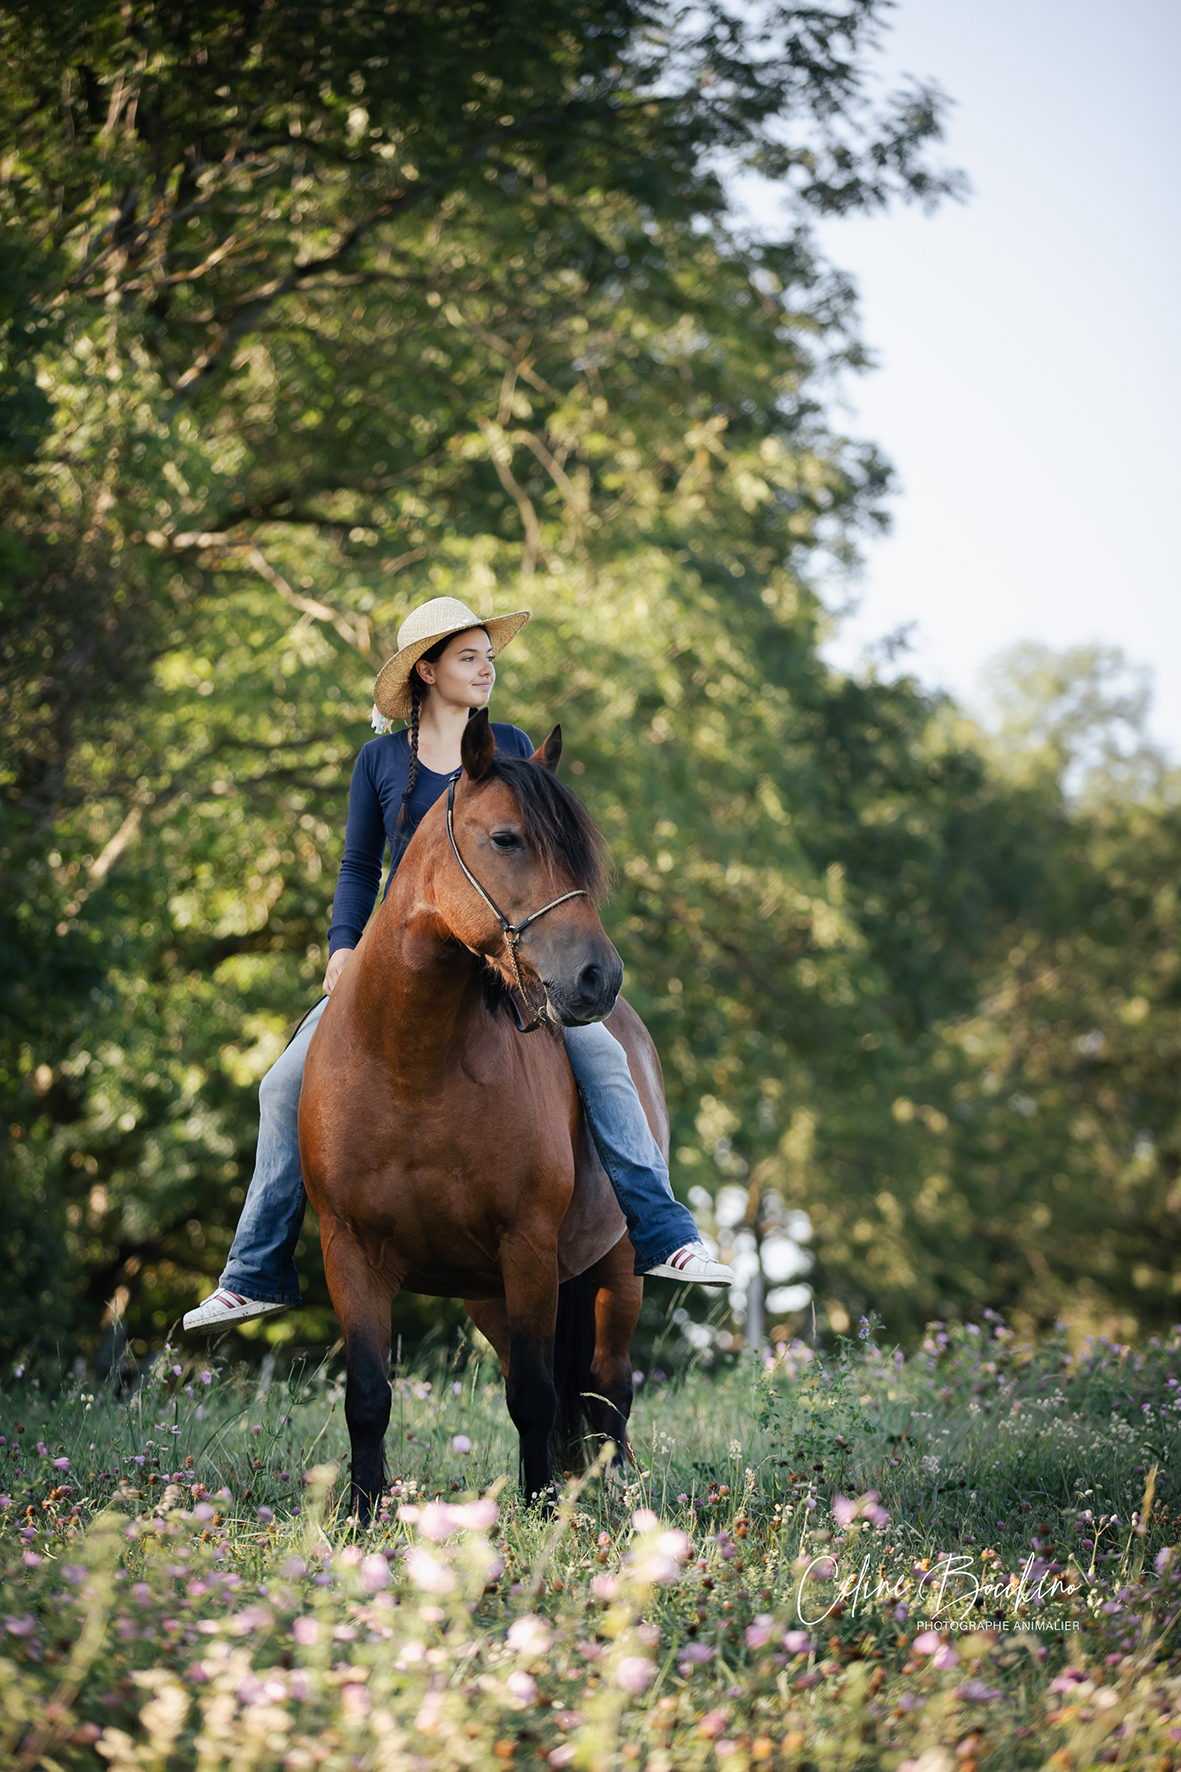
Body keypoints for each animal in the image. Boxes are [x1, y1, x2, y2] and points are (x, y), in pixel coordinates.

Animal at [298, 710, 668, 1518]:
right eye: (506, 839)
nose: (598, 977)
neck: (410, 1068)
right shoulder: (350, 1252)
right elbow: (368, 1398)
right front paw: (361, 1516)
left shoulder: (526, 1245)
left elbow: (533, 1394)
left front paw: (539, 1515)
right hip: (488, 1296)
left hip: (613, 1273)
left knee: (608, 1390)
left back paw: (618, 1499)